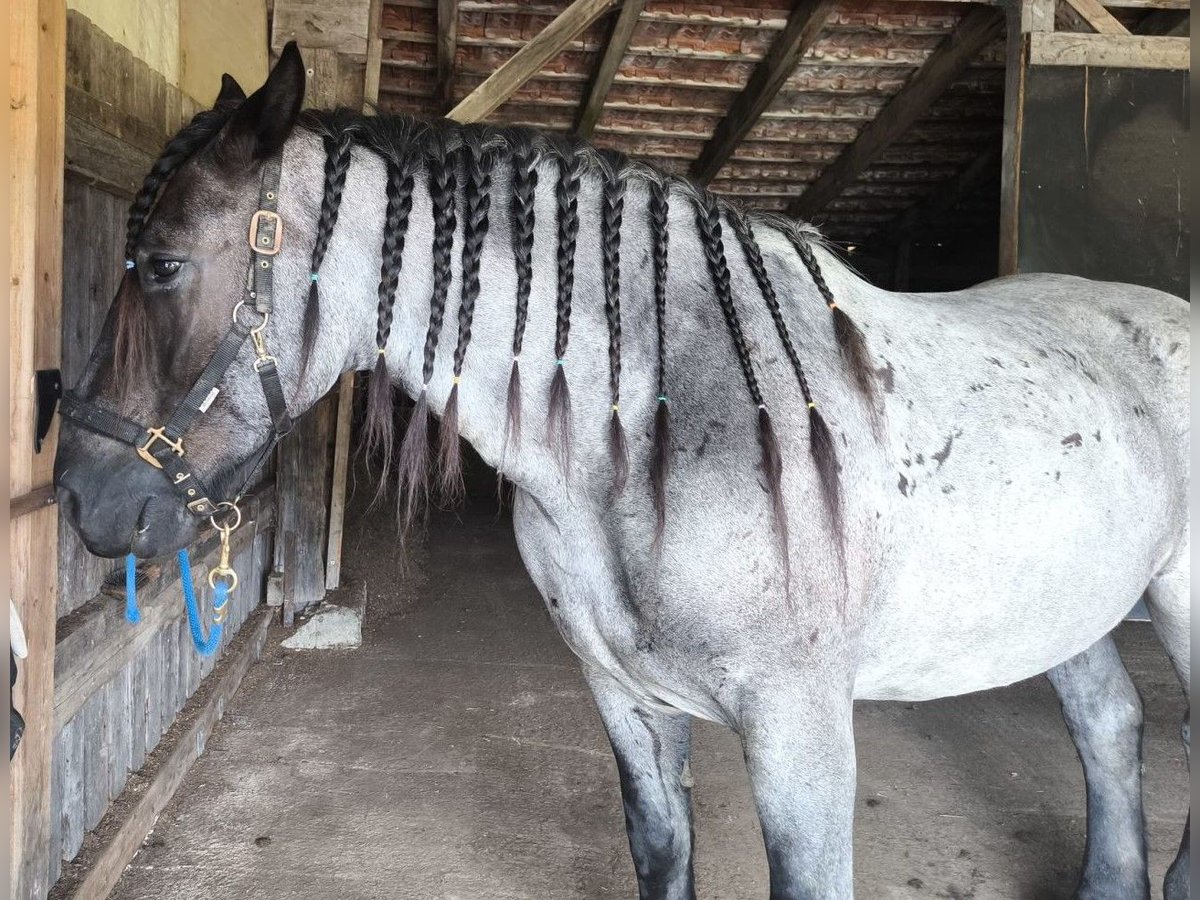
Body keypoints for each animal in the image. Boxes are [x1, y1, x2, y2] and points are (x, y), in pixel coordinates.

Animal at [51, 44, 1185, 900]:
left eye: (162, 265)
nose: (78, 498)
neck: (658, 433)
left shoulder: (802, 732)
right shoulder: (624, 697)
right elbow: (659, 851)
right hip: (1059, 608)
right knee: (1110, 723)